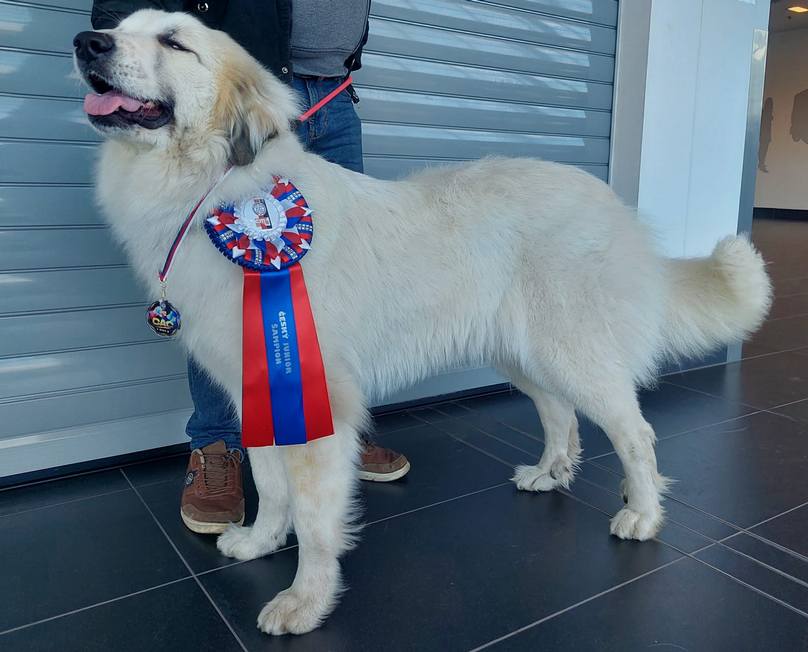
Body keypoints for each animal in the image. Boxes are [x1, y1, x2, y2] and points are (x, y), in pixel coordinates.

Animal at [74, 11, 772, 636]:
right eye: (120, 25)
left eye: (173, 42)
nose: (87, 41)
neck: (224, 190)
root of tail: (613, 206)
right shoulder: (261, 392)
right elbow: (271, 487)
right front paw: (260, 544)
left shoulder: (318, 402)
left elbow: (315, 517)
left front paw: (305, 602)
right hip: (523, 353)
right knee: (559, 414)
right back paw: (550, 473)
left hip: (570, 351)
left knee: (635, 435)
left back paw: (643, 515)